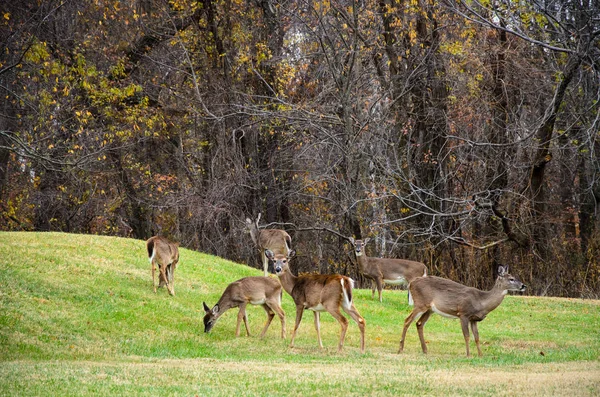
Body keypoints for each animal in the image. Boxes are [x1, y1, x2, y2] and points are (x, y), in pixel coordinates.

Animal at [400, 266, 528, 356]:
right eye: (511, 279)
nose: (524, 286)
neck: (481, 301)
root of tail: (411, 283)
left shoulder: (474, 319)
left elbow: (477, 337)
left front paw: (480, 355)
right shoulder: (463, 313)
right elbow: (466, 335)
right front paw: (468, 354)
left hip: (430, 309)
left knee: (419, 323)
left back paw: (425, 350)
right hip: (420, 303)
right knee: (407, 320)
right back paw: (400, 348)